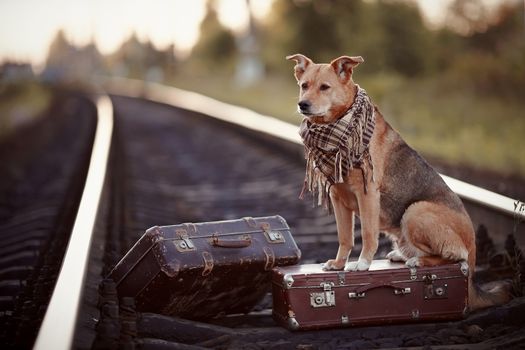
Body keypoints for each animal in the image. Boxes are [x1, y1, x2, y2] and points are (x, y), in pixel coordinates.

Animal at [286, 53, 508, 310]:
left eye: (324, 87)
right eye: (304, 86)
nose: (303, 104)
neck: (338, 128)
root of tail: (472, 266)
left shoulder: (367, 193)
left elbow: (368, 234)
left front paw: (362, 264)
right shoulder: (337, 195)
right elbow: (345, 238)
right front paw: (339, 265)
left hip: (416, 211)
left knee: (455, 255)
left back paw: (418, 261)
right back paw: (404, 255)